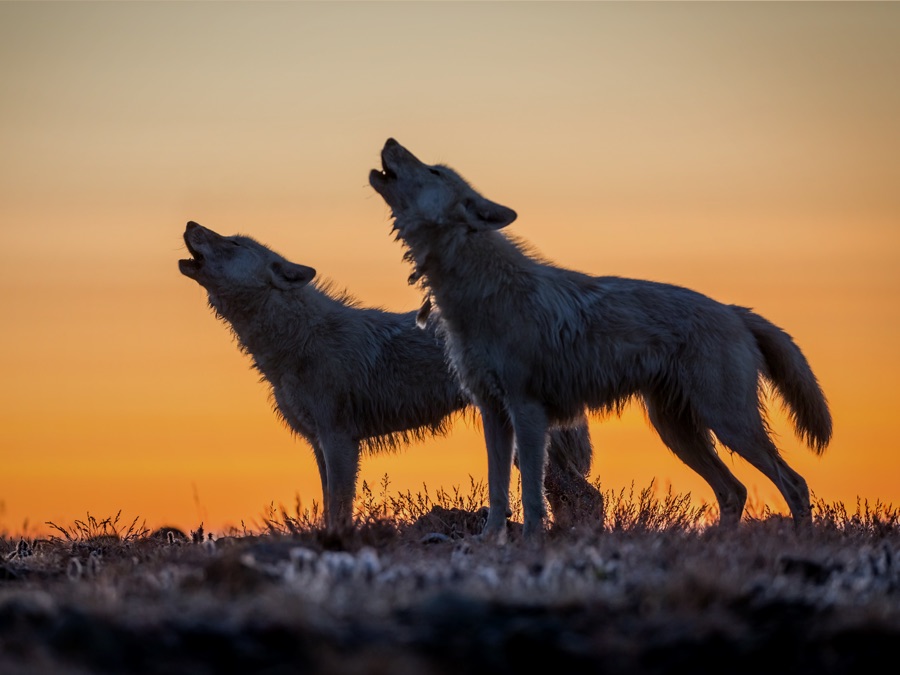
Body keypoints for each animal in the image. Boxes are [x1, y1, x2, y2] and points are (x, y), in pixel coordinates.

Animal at [177, 222, 600, 532]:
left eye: (232, 242)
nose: (190, 224)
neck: (298, 342)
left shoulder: (340, 440)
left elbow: (339, 508)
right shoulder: (318, 443)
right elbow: (329, 503)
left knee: (586, 497)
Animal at [370, 139, 832, 544]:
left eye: (434, 171)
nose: (390, 140)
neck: (481, 291)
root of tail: (735, 310)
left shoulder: (528, 411)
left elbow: (531, 497)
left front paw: (530, 544)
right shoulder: (494, 413)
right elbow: (498, 493)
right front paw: (486, 544)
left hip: (729, 424)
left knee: (795, 483)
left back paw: (801, 543)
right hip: (679, 432)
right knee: (734, 491)